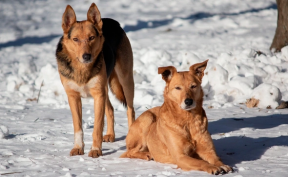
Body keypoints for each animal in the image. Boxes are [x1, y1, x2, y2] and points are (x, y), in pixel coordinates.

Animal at [56, 2, 136, 158]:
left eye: (92, 38)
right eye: (75, 39)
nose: (86, 56)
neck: (82, 69)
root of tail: (113, 22)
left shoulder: (98, 95)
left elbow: (97, 127)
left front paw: (95, 150)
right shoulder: (73, 97)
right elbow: (78, 127)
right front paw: (78, 148)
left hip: (126, 80)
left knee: (131, 110)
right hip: (105, 87)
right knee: (110, 109)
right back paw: (110, 135)